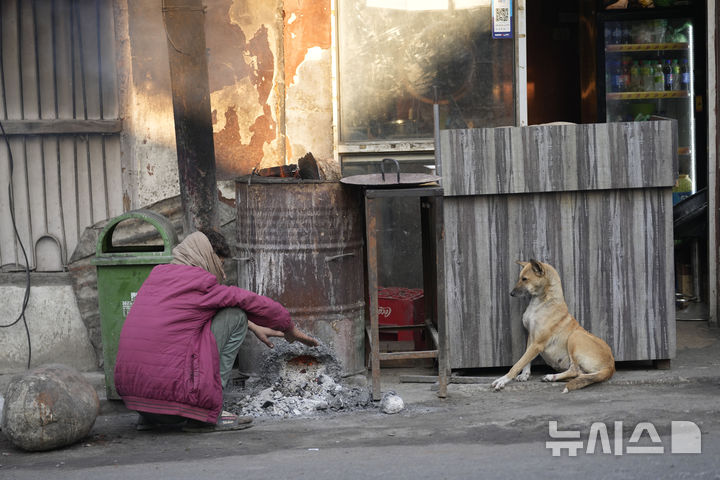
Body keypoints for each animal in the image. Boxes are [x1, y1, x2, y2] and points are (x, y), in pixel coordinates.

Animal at [492, 260, 616, 392]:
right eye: (520, 278)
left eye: (524, 279)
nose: (511, 293)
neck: (543, 301)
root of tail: (611, 366)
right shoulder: (531, 336)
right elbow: (526, 361)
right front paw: (525, 374)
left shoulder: (537, 344)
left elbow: (518, 363)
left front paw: (502, 380)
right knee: (579, 375)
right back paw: (552, 377)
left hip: (575, 336)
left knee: (575, 370)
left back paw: (552, 376)